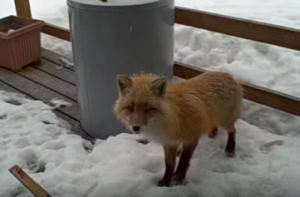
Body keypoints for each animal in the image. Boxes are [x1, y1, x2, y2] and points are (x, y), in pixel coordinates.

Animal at [112, 71, 244, 187]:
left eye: (148, 109)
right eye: (130, 108)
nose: (135, 127)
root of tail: (228, 75)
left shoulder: (191, 138)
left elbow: (184, 160)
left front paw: (179, 177)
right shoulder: (168, 142)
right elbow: (169, 165)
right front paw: (165, 182)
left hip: (225, 121)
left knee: (233, 130)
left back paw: (230, 148)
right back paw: (212, 132)